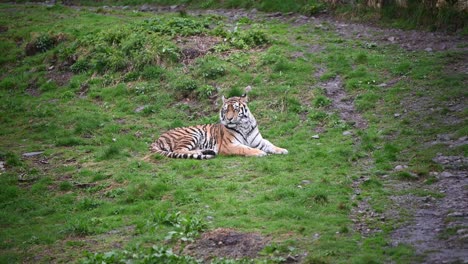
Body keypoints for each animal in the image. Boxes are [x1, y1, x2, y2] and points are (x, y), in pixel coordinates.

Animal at [151, 95, 288, 161]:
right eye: (226, 110)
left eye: (236, 109)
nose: (229, 118)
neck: (244, 125)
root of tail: (157, 139)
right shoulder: (229, 145)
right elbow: (245, 148)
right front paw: (259, 153)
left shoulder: (259, 141)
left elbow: (270, 144)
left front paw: (282, 150)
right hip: (192, 134)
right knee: (178, 150)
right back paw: (202, 153)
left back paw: (207, 151)